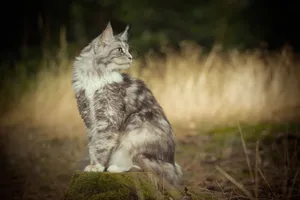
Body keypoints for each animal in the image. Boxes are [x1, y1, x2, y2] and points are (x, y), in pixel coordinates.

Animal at [71, 21, 183, 186]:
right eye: (119, 50)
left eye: (128, 50)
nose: (130, 57)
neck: (95, 75)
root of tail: (172, 163)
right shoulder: (88, 117)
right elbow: (93, 144)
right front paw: (93, 164)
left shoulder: (107, 117)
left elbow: (101, 144)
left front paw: (97, 166)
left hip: (135, 131)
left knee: (139, 164)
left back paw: (115, 167)